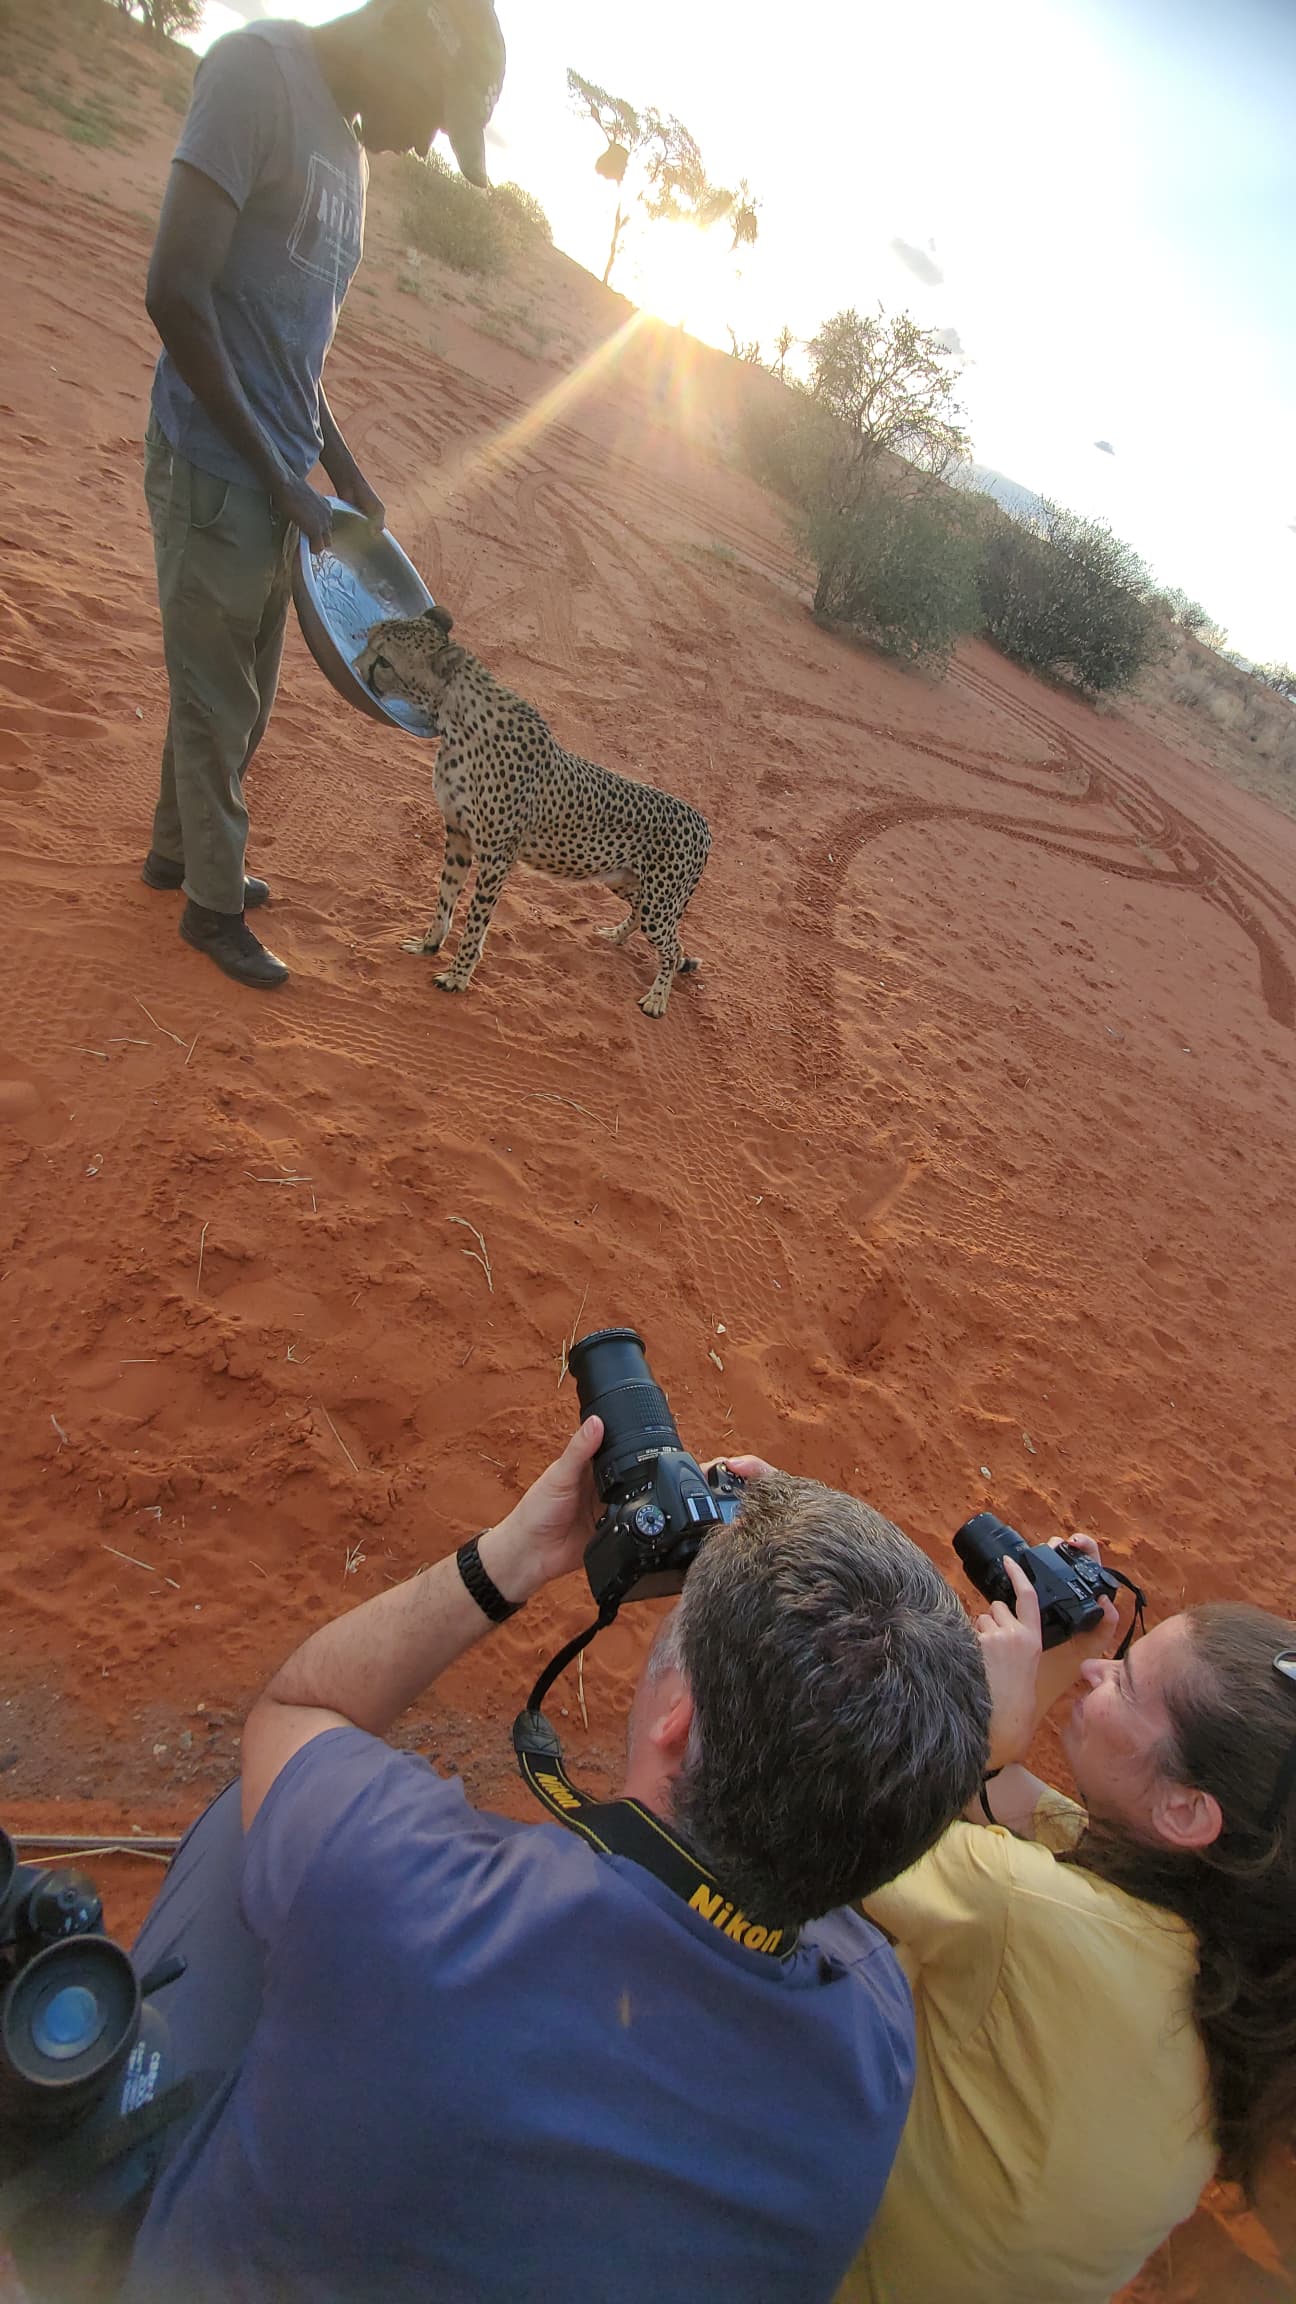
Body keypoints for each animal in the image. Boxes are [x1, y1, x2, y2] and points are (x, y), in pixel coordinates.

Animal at [353, 604, 711, 1018]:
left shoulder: (498, 854)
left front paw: (457, 977)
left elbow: (476, 920)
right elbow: (445, 898)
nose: (355, 665)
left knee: (673, 947)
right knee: (658, 930)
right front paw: (428, 945)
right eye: (370, 639)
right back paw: (615, 936)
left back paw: (657, 999)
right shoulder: (458, 835)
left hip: (659, 900)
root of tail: (703, 822)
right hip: (625, 880)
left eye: (384, 660)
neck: (457, 720)